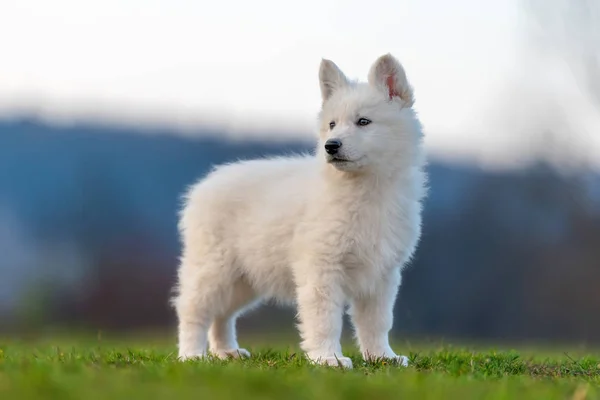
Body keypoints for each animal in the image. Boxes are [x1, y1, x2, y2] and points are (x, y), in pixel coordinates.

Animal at [172, 54, 426, 368]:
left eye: (363, 122)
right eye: (332, 124)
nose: (331, 146)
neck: (365, 189)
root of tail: (203, 186)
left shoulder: (382, 274)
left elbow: (377, 322)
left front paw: (382, 357)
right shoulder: (322, 267)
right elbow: (325, 319)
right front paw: (329, 359)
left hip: (245, 279)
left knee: (223, 314)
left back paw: (227, 352)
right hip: (213, 269)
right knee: (193, 310)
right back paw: (191, 355)